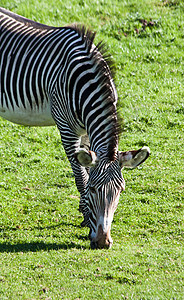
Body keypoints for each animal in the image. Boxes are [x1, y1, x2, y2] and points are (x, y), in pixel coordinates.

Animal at [0, 8, 150, 250]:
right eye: (93, 190)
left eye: (121, 191)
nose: (103, 242)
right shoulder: (66, 129)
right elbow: (80, 175)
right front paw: (87, 218)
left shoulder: (88, 133)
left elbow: (87, 169)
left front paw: (85, 215)